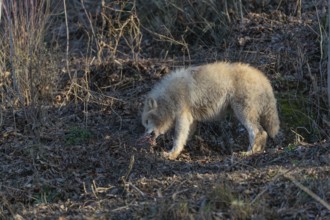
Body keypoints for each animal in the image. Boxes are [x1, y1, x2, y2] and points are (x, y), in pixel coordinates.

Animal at [141, 62, 280, 160]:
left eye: (147, 122)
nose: (146, 136)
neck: (169, 97)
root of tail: (265, 80)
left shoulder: (182, 117)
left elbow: (178, 138)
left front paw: (171, 154)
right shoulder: (190, 119)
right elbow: (185, 136)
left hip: (243, 114)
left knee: (258, 132)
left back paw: (248, 153)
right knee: (263, 133)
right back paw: (258, 151)